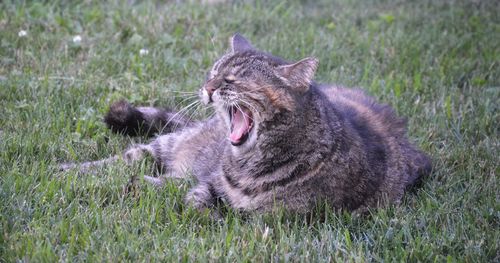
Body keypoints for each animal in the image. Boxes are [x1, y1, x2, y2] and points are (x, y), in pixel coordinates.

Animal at [61, 33, 430, 214]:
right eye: (213, 71)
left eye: (232, 80)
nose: (208, 87)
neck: (246, 163)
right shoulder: (211, 182)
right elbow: (192, 194)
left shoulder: (275, 218)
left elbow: (194, 199)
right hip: (163, 144)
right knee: (121, 161)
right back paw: (67, 171)